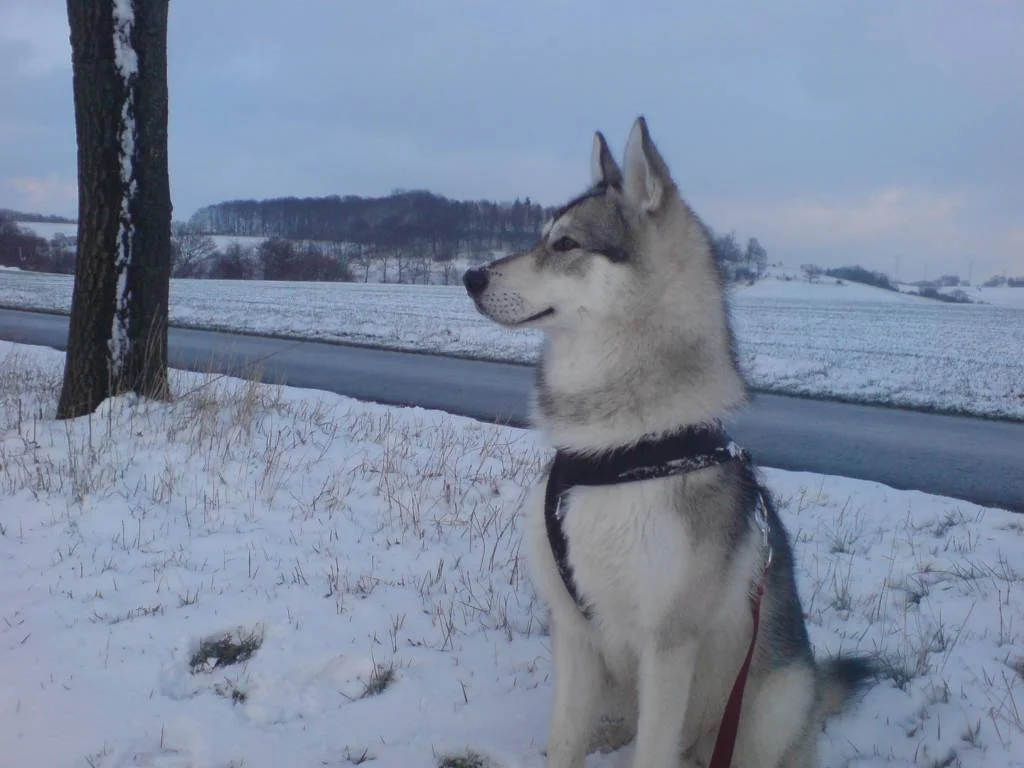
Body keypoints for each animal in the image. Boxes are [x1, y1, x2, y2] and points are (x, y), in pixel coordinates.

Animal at [462, 117, 873, 767]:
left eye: (566, 245)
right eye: (540, 238)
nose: (469, 277)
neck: (617, 451)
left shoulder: (668, 646)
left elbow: (653, 748)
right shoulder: (573, 628)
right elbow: (563, 741)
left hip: (771, 703)